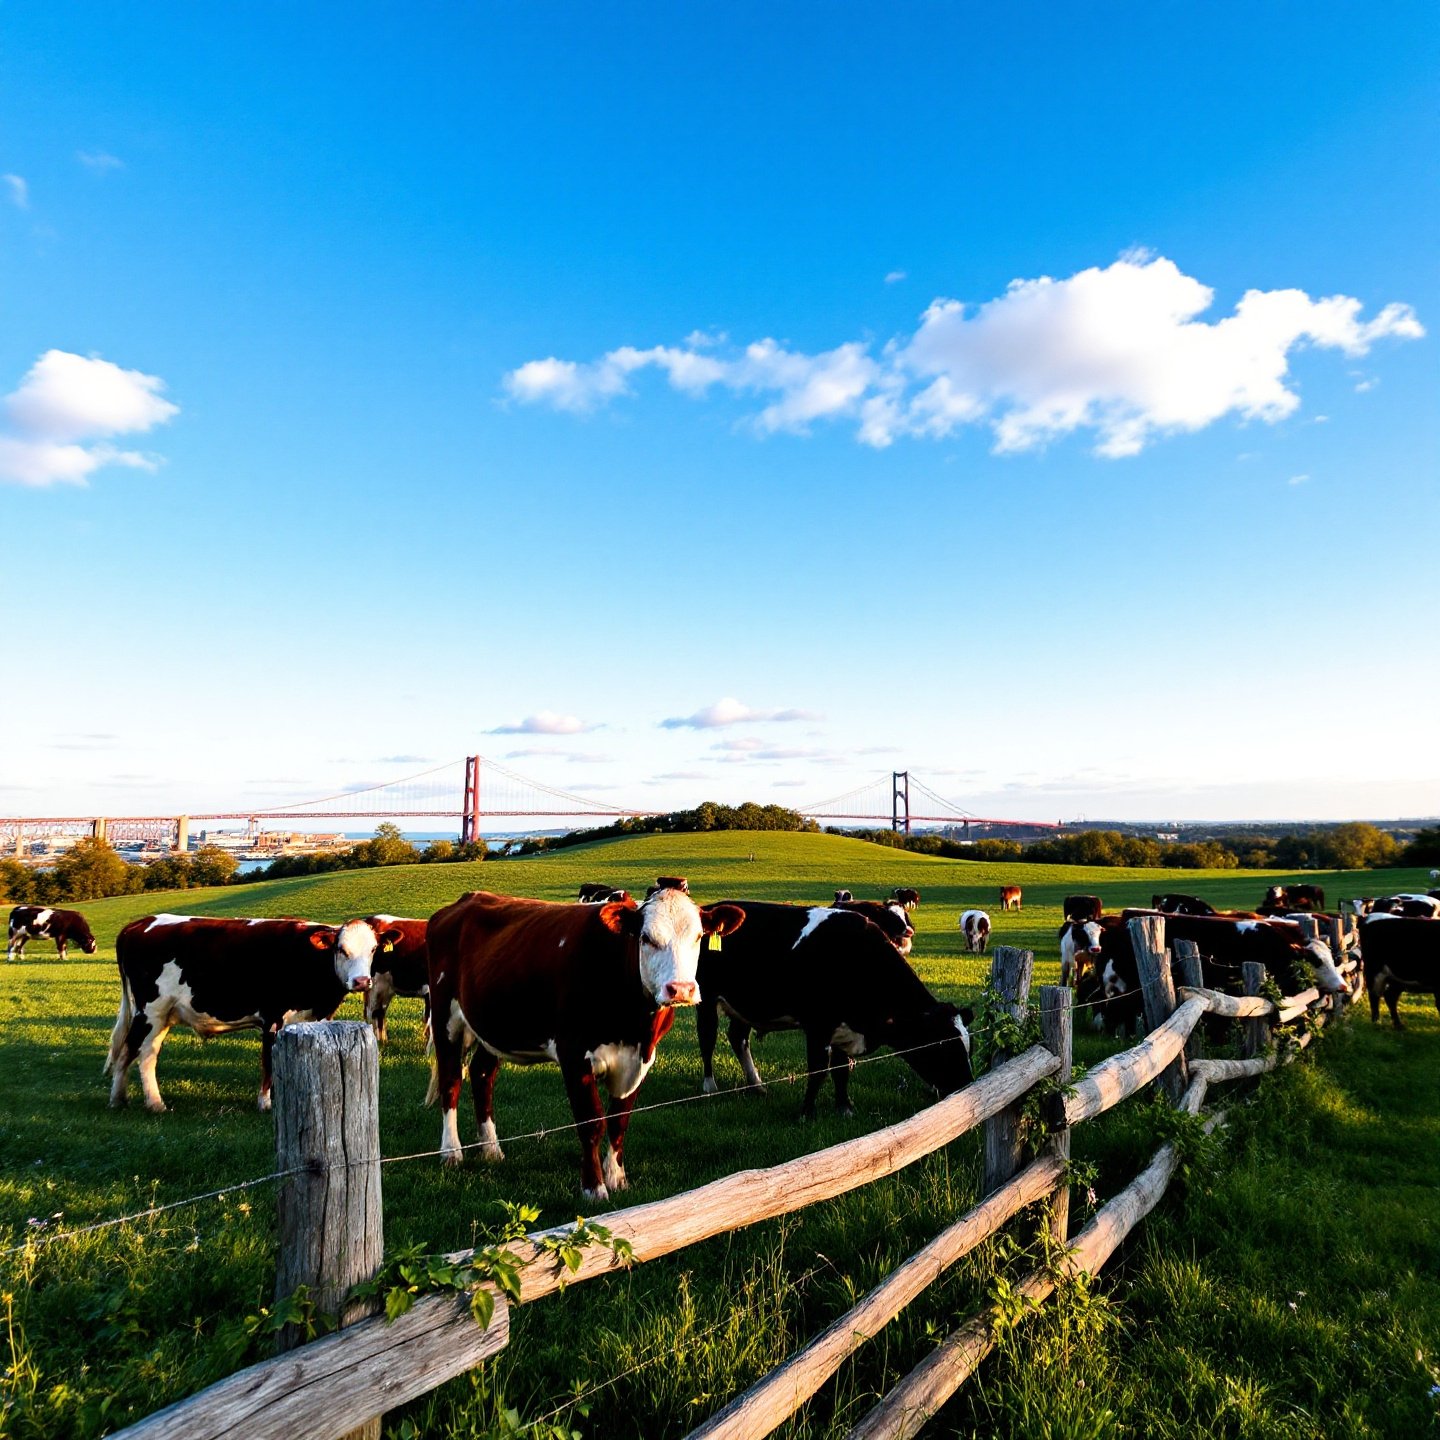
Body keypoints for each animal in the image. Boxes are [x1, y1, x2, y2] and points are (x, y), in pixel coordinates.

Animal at [105, 910, 400, 1111]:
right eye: (341, 949)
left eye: (373, 949)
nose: (361, 981)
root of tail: (139, 924)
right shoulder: (273, 1018)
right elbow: (269, 1062)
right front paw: (266, 1103)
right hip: (150, 1011)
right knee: (141, 1052)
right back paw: (150, 1103)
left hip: (159, 1015)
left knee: (133, 1051)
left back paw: (122, 1098)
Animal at [423, 887, 743, 1203]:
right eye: (646, 938)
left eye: (699, 937)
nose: (681, 989)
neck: (632, 1023)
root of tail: (467, 899)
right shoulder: (574, 1054)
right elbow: (591, 1122)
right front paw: (594, 1188)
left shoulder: (640, 1059)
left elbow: (619, 1120)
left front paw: (617, 1178)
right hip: (445, 1016)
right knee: (451, 1080)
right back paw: (451, 1152)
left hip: (494, 1027)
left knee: (481, 1075)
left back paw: (491, 1148)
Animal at [691, 904, 973, 1117]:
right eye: (943, 1046)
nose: (967, 1086)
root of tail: (709, 909)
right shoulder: (818, 1027)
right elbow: (818, 1070)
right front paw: (806, 1112)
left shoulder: (843, 1029)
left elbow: (841, 1069)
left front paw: (844, 1107)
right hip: (706, 999)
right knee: (708, 1039)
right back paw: (709, 1086)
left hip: (745, 1006)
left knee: (738, 1038)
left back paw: (757, 1085)